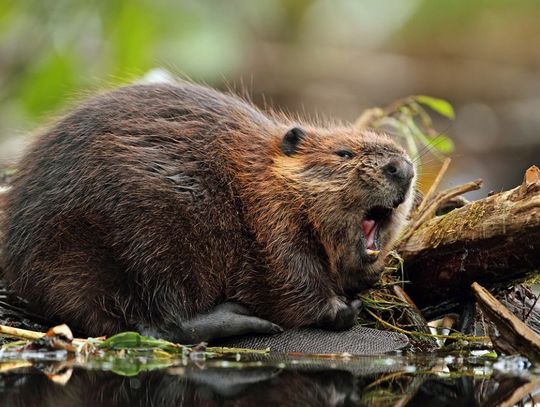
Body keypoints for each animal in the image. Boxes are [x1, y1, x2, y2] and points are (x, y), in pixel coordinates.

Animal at [1, 83, 414, 344]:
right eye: (344, 153)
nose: (404, 167)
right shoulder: (272, 222)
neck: (263, 176)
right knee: (158, 323)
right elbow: (292, 278)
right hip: (151, 236)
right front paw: (343, 308)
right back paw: (243, 317)